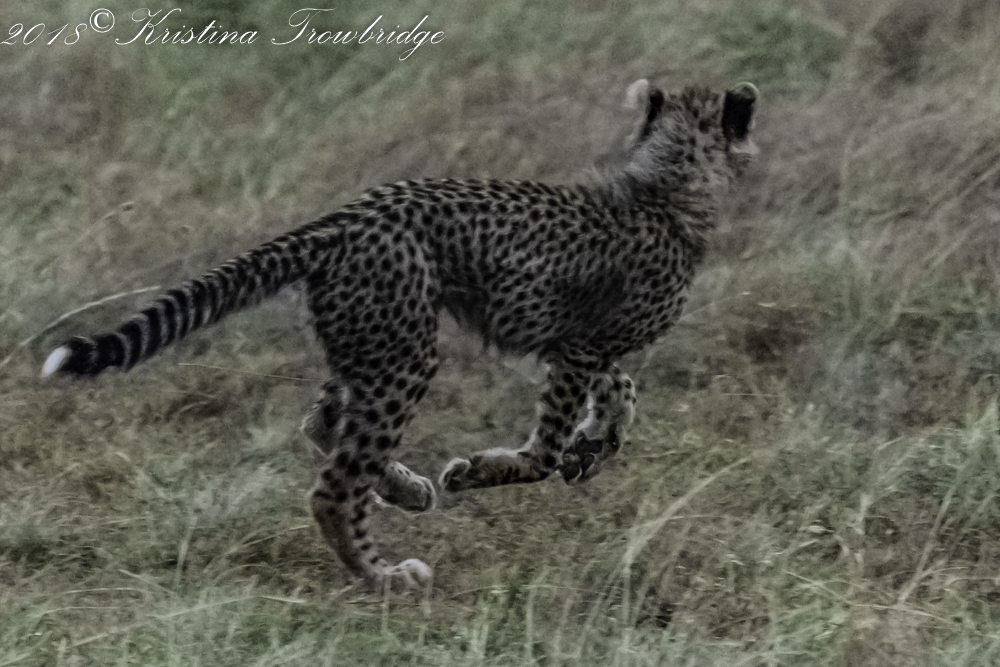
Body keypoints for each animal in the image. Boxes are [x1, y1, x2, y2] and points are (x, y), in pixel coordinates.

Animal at [42, 79, 759, 590]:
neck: (666, 186)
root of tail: (340, 216)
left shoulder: (576, 342)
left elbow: (621, 387)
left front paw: (597, 442)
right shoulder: (578, 346)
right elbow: (547, 445)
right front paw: (497, 467)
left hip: (371, 336)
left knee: (325, 421)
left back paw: (402, 489)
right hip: (405, 352)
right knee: (334, 486)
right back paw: (383, 575)